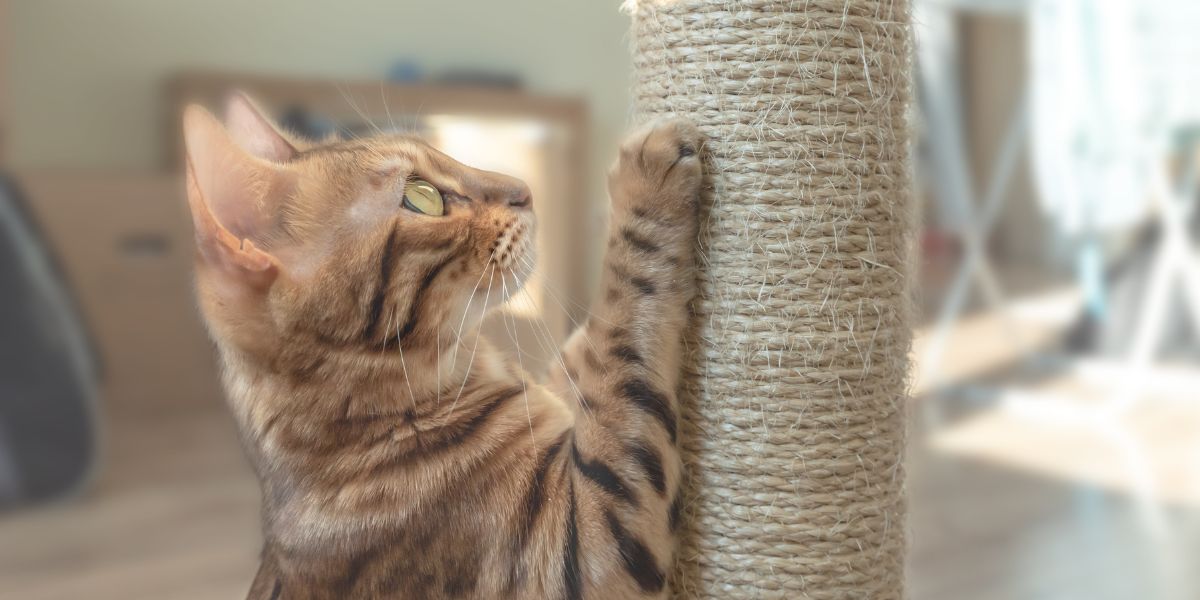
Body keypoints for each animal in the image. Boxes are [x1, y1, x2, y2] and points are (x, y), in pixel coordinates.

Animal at [180, 94, 700, 600]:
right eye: (421, 196)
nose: (525, 189)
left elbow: (590, 351)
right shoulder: (584, 547)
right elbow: (624, 333)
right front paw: (645, 177)